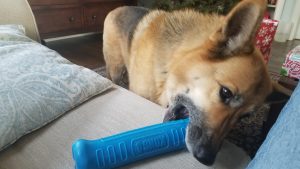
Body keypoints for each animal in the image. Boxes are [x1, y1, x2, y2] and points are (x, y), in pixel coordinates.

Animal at [103, 0, 290, 165]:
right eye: (225, 92)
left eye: (244, 117)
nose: (206, 159)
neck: (172, 62)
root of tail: (119, 8)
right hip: (116, 67)